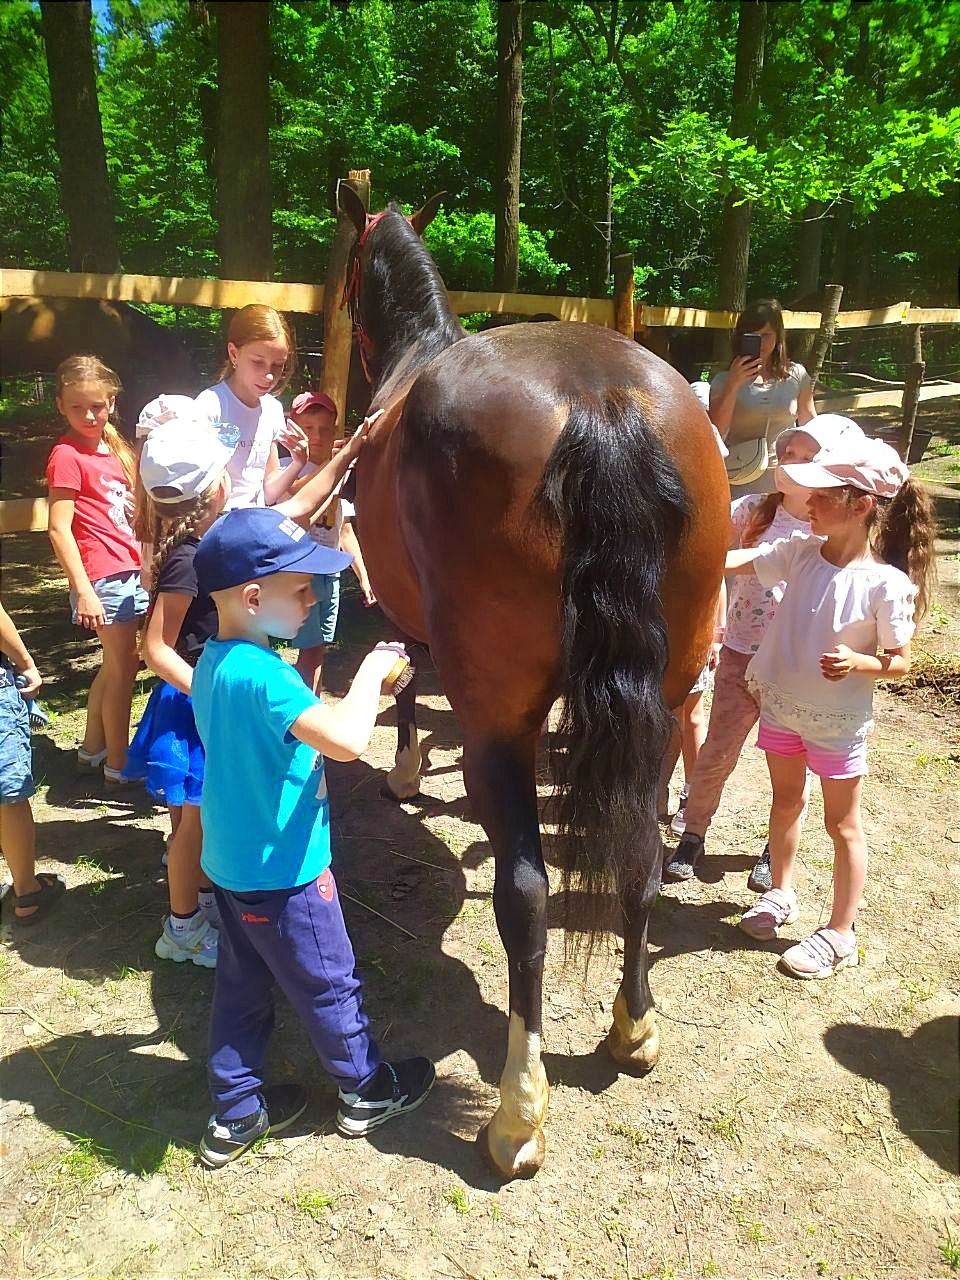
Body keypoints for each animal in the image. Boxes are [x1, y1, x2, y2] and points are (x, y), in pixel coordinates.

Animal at [337, 189, 727, 1177]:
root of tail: (601, 400)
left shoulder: (408, 613)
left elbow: (404, 674)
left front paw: (404, 772)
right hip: (667, 709)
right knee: (639, 862)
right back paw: (633, 1030)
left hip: (500, 727)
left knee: (527, 896)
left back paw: (518, 1112)